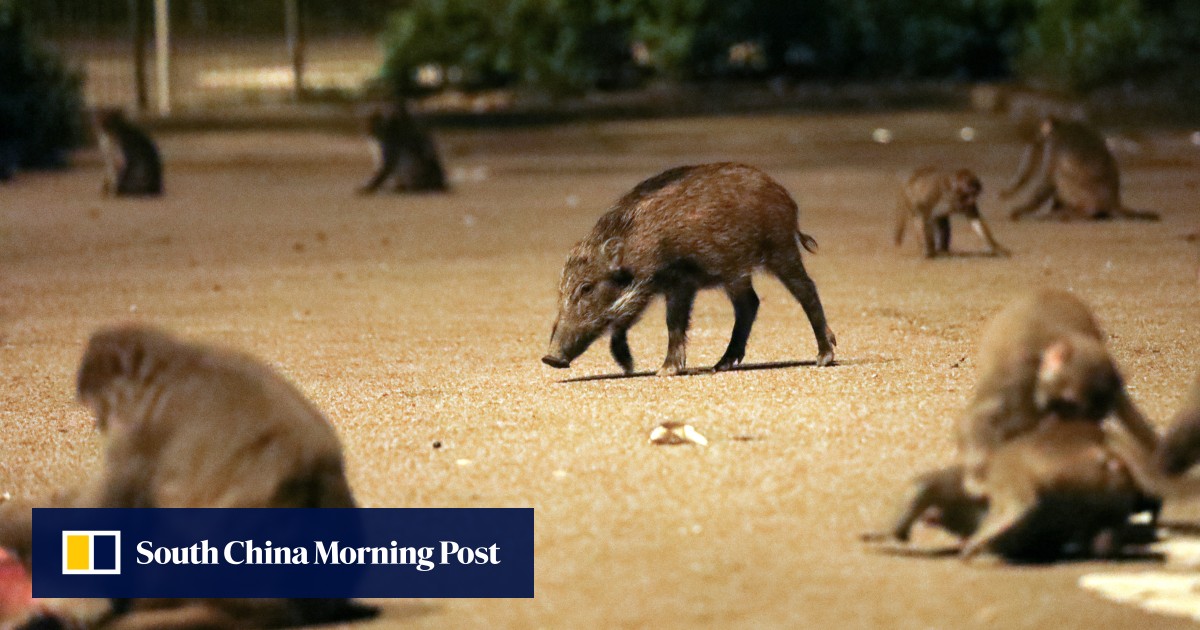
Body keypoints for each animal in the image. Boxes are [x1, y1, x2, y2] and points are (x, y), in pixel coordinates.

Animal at [1002, 116, 1158, 222]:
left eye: (1039, 134)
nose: (1036, 139)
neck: (1061, 126)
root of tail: (1113, 203)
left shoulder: (1054, 146)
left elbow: (1048, 181)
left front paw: (1023, 211)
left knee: (1061, 175)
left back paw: (1078, 213)